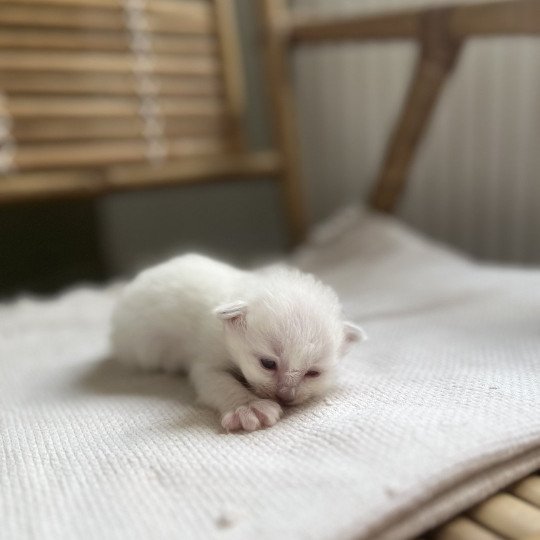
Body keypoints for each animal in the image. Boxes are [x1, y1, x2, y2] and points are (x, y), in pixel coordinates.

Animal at [109, 255, 364, 432]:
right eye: (267, 364)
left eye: (313, 373)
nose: (285, 396)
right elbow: (219, 382)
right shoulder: (206, 358)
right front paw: (247, 407)